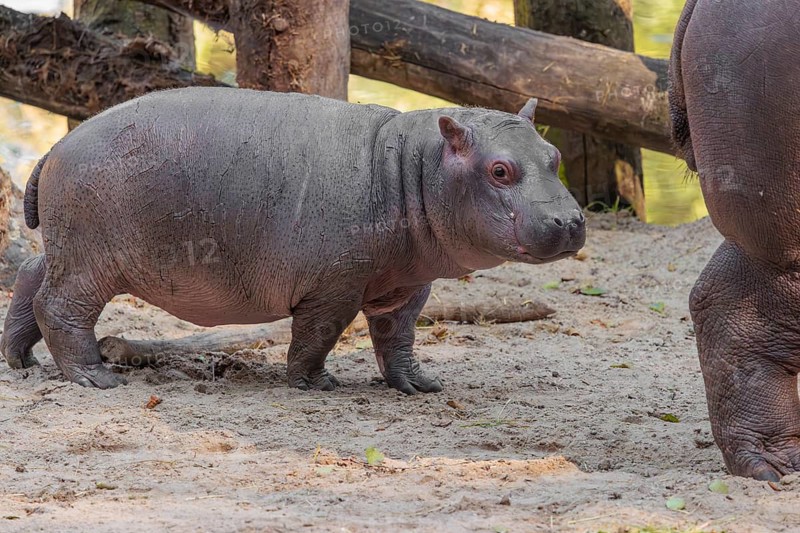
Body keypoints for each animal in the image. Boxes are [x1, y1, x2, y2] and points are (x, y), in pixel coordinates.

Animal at [0, 87, 585, 394]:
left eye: (554, 155)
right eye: (501, 170)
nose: (570, 222)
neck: (414, 168)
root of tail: (55, 148)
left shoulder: (407, 287)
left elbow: (398, 337)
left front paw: (419, 385)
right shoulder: (335, 286)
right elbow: (318, 334)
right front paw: (314, 383)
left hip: (69, 249)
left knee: (30, 277)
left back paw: (22, 363)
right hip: (92, 260)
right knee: (60, 307)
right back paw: (96, 378)